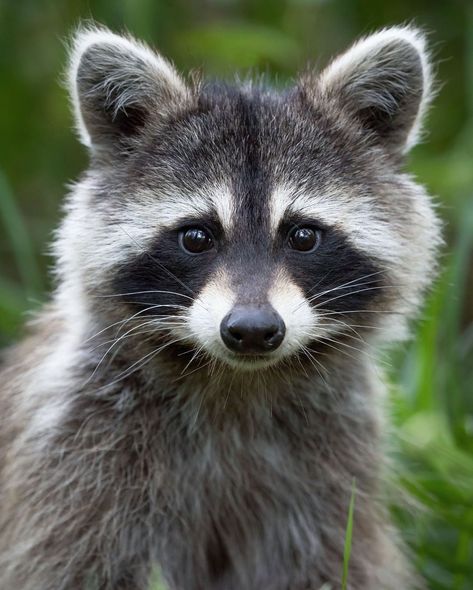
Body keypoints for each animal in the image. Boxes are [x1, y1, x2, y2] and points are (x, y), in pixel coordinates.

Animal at [0, 24, 440, 590]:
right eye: (196, 237)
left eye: (303, 236)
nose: (252, 329)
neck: (235, 382)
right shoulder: (73, 454)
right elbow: (71, 564)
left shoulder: (335, 469)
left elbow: (334, 561)